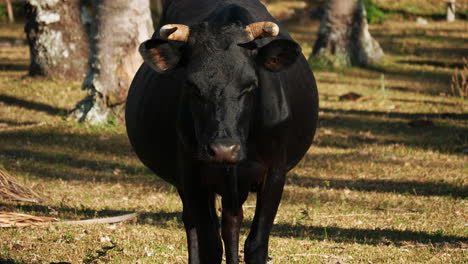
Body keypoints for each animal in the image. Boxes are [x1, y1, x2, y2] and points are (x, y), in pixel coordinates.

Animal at [126, 1, 320, 262]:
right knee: (195, 226)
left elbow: (256, 243)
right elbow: (209, 244)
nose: (223, 150)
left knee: (231, 225)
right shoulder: (191, 175)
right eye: (191, 86)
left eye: (250, 85)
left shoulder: (275, 173)